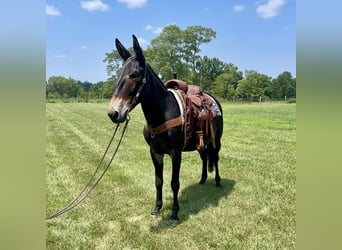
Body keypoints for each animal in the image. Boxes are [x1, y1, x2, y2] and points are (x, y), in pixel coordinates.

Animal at [108, 35, 223, 221]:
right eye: (118, 74)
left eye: (134, 74)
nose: (114, 113)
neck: (162, 113)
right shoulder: (155, 152)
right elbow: (158, 181)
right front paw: (157, 208)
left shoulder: (176, 153)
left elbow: (174, 183)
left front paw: (175, 212)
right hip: (200, 143)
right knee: (205, 157)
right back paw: (203, 179)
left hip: (216, 140)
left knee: (216, 158)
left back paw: (218, 181)